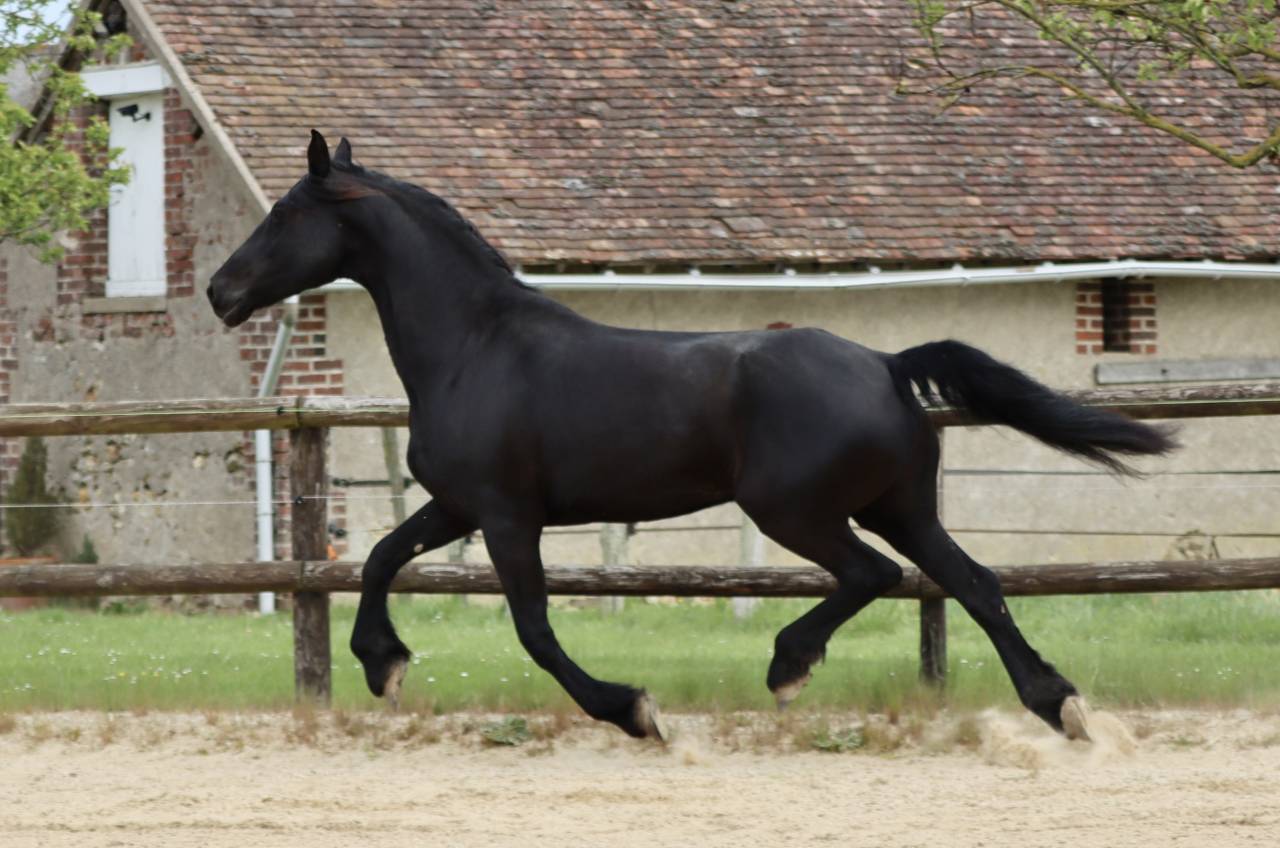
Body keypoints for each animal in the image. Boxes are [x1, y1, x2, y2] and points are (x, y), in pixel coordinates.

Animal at [209, 131, 1175, 741]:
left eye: (285, 215)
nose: (221, 291)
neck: (475, 347)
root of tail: (886, 363)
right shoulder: (458, 504)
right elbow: (377, 559)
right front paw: (383, 666)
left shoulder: (507, 514)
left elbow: (534, 629)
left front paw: (633, 710)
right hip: (901, 507)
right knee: (973, 583)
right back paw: (1059, 706)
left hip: (797, 511)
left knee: (875, 576)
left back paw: (789, 667)